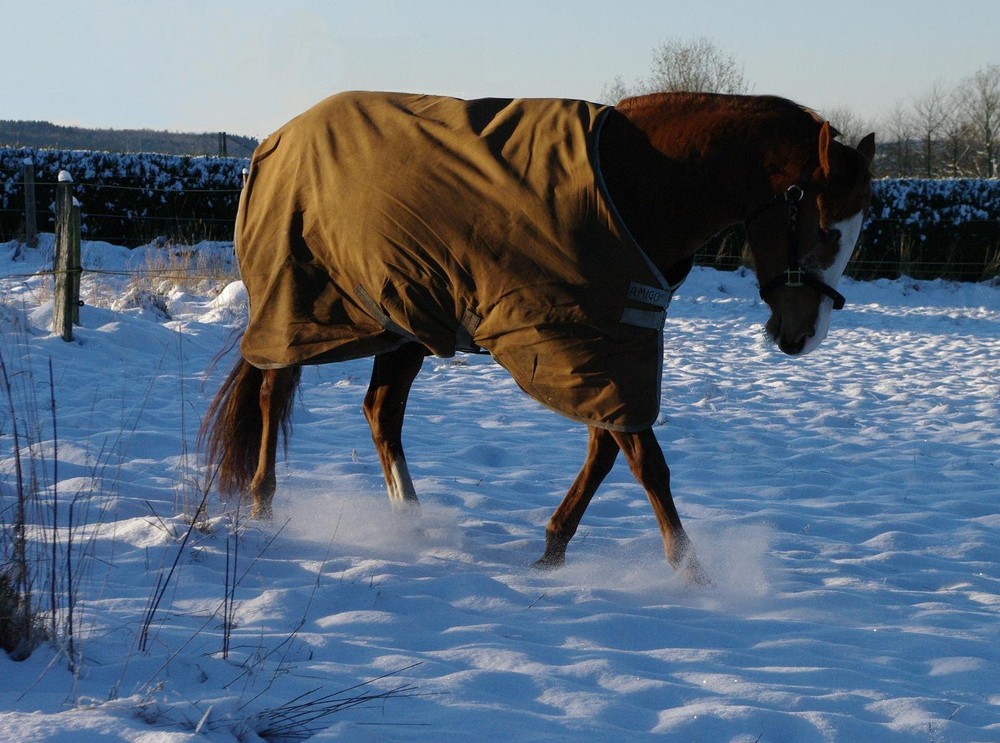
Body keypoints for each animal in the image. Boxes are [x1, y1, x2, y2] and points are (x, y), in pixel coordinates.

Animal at [203, 88, 876, 588]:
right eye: (824, 227)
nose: (804, 336)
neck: (639, 182)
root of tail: (274, 141)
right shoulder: (587, 344)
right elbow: (646, 462)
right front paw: (693, 575)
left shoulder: (608, 344)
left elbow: (608, 451)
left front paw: (552, 551)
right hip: (302, 305)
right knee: (274, 391)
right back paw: (264, 504)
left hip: (404, 320)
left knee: (380, 413)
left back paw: (410, 522)